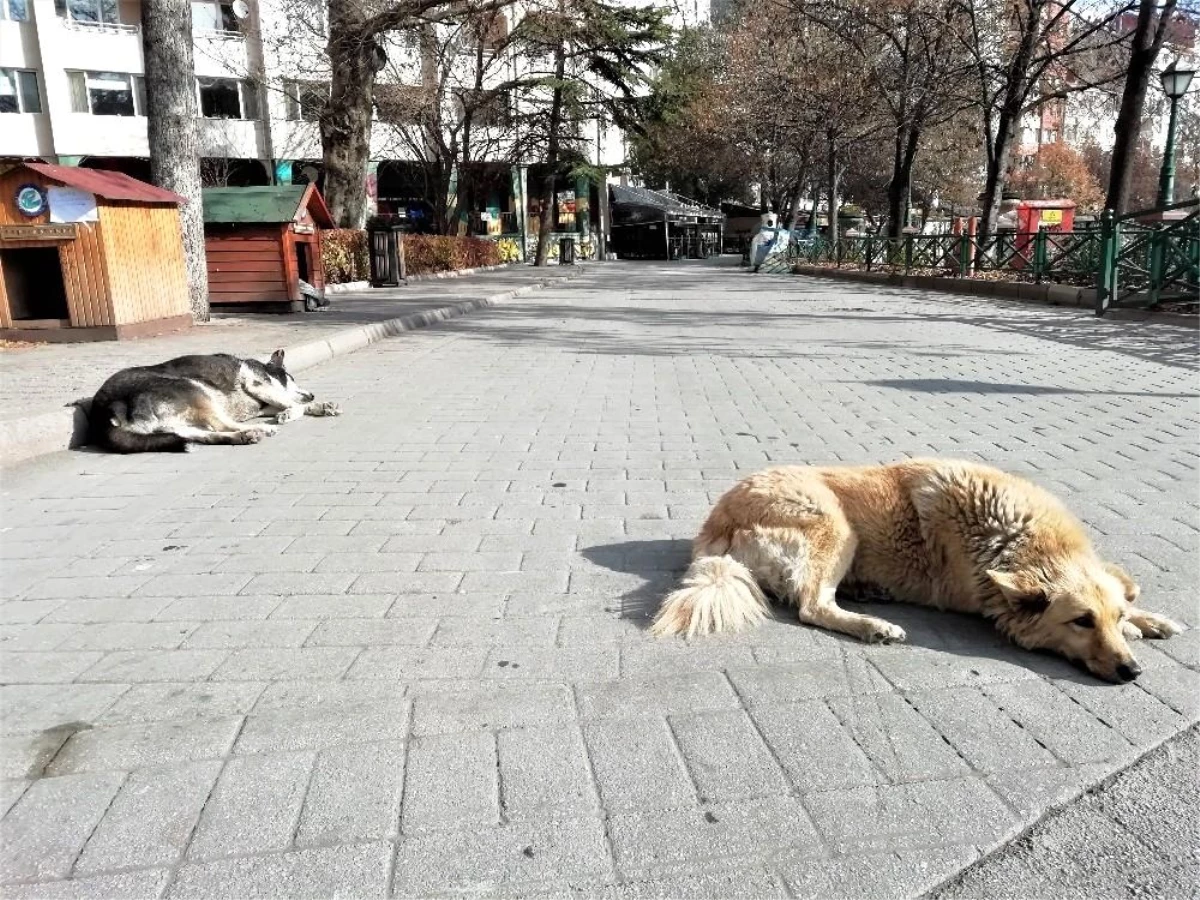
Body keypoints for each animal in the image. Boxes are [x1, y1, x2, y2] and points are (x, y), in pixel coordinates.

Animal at [88, 350, 340, 453]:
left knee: (206, 434)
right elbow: (293, 404)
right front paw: (290, 413)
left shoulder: (265, 401)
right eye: (291, 379)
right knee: (222, 425)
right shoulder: (258, 384)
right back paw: (258, 430)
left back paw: (245, 436)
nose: (312, 394)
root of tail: (102, 411)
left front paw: (320, 406)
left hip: (177, 423)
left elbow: (294, 404)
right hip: (196, 389)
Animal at [652, 458, 1176, 681]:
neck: (1014, 538)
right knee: (811, 605)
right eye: (1081, 622)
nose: (1132, 673)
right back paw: (873, 625)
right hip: (836, 524)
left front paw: (1148, 620)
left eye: (1110, 618)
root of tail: (714, 524)